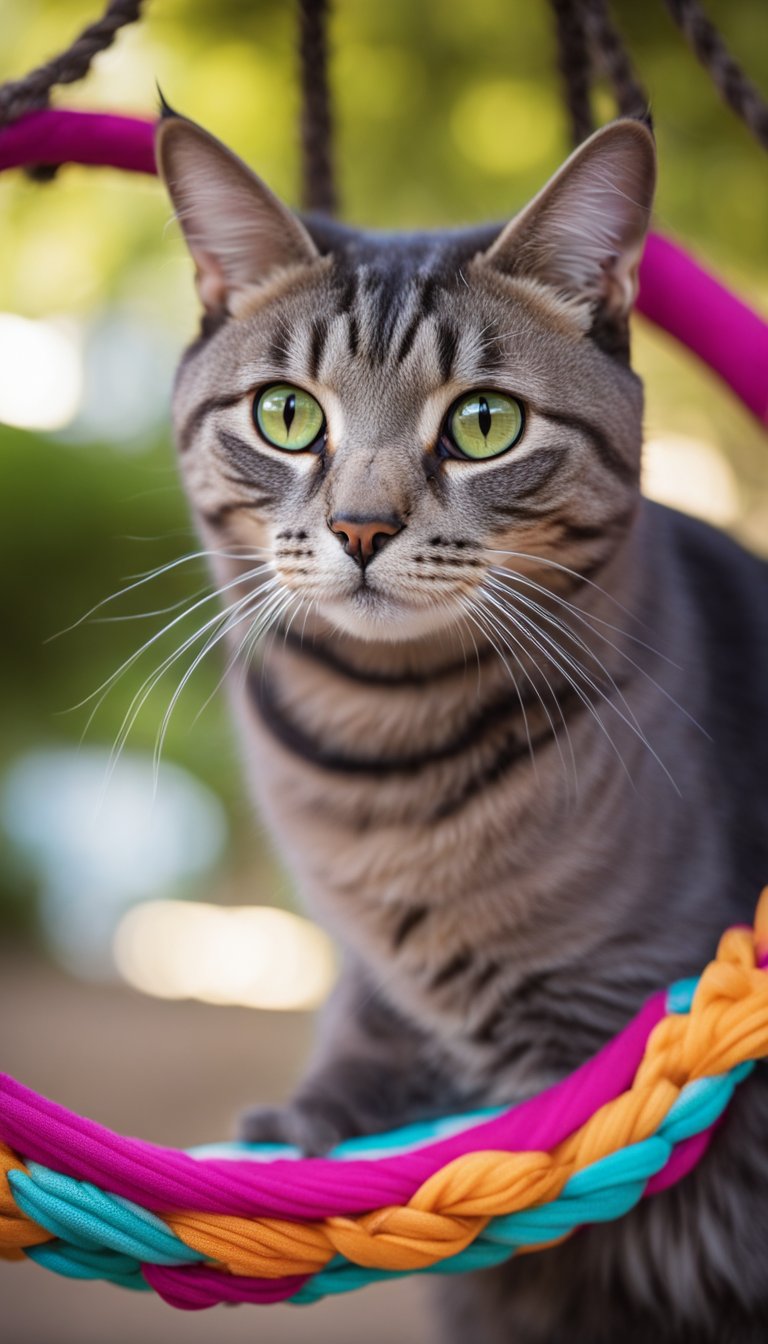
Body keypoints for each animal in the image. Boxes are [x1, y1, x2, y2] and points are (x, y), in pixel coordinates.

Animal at [156, 112, 768, 1344]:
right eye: (287, 414)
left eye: (484, 426)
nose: (359, 526)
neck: (384, 748)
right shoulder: (373, 987)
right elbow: (351, 1070)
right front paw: (291, 1143)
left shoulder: (607, 1035)